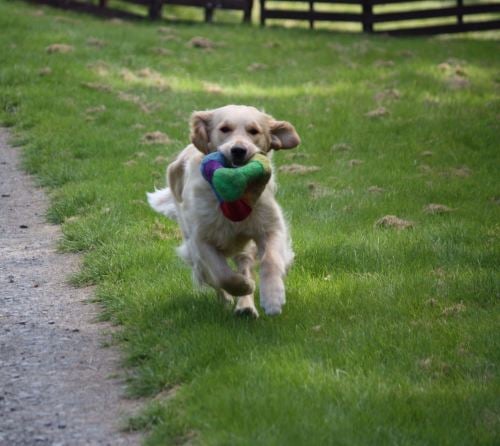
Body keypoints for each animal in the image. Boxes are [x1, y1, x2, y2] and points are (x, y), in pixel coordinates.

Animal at [146, 105, 298, 318]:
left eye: (254, 131)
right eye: (224, 129)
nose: (238, 150)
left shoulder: (270, 227)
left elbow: (271, 260)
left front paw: (273, 297)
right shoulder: (201, 240)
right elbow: (222, 275)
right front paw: (243, 286)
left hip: (243, 247)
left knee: (244, 265)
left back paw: (246, 307)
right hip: (192, 247)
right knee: (208, 276)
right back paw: (230, 298)